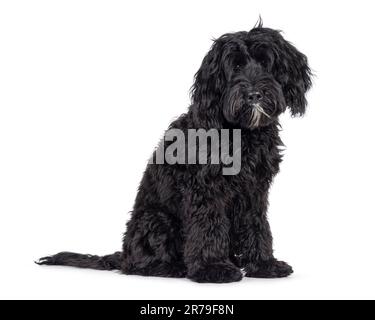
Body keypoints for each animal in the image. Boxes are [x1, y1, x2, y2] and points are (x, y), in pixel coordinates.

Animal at [39, 20, 314, 282]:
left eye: (266, 63)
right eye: (235, 66)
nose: (254, 94)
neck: (240, 133)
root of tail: (124, 253)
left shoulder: (254, 191)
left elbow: (257, 226)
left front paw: (264, 264)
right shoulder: (204, 189)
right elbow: (208, 226)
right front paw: (213, 268)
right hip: (156, 220)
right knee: (138, 266)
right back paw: (173, 267)